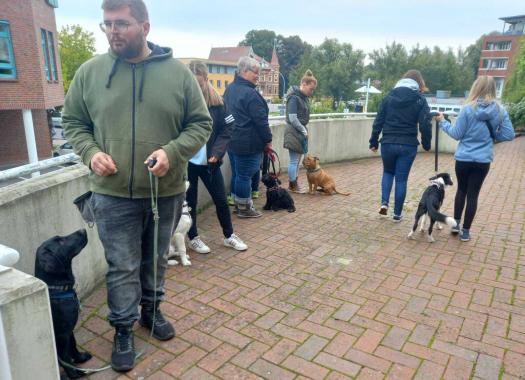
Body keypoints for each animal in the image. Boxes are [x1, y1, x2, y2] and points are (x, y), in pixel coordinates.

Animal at [34, 227, 92, 378]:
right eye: (60, 242)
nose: (83, 229)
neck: (58, 290)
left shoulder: (69, 329)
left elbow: (73, 344)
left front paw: (80, 358)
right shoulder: (61, 335)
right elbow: (65, 357)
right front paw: (74, 373)